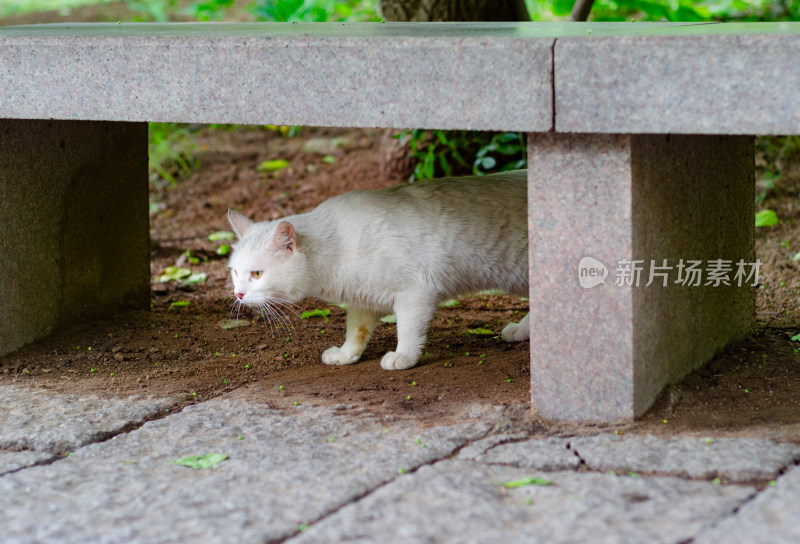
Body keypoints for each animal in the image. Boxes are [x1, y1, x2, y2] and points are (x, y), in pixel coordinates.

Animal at [230, 170, 532, 370]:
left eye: (257, 274)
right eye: (234, 272)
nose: (238, 295)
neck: (338, 244)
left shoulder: (416, 293)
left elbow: (408, 330)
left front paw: (404, 357)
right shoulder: (363, 299)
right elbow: (356, 331)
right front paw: (346, 355)